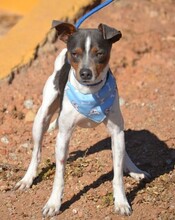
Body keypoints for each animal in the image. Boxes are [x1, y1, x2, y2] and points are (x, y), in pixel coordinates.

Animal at [15, 20, 150, 217]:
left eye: (100, 53)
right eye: (75, 53)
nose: (86, 73)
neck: (90, 93)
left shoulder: (116, 131)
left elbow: (117, 174)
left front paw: (121, 201)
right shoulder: (63, 136)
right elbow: (59, 175)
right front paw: (53, 203)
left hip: (118, 132)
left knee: (122, 153)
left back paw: (134, 169)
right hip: (41, 118)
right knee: (36, 152)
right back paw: (27, 178)